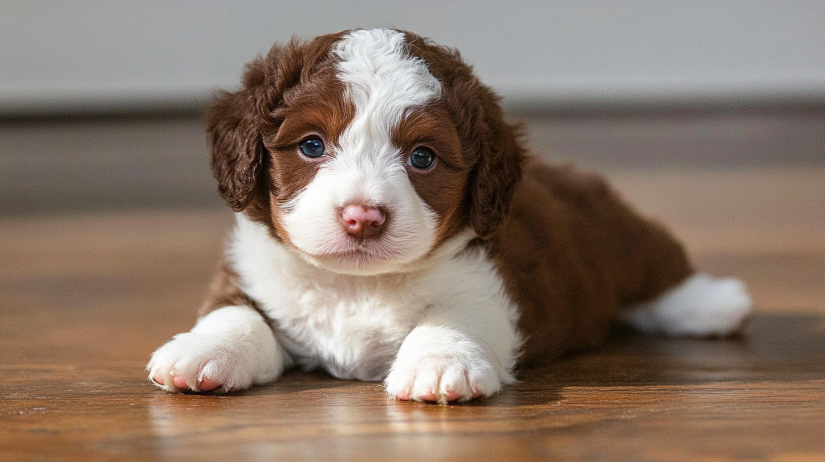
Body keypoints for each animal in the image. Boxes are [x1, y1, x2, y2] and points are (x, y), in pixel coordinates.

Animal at [145, 28, 748, 404]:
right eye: (312, 145)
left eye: (422, 158)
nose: (362, 217)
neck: (357, 285)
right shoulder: (250, 271)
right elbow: (233, 313)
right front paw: (202, 352)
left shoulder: (490, 283)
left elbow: (454, 315)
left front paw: (438, 363)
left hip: (616, 235)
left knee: (655, 267)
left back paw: (716, 304)